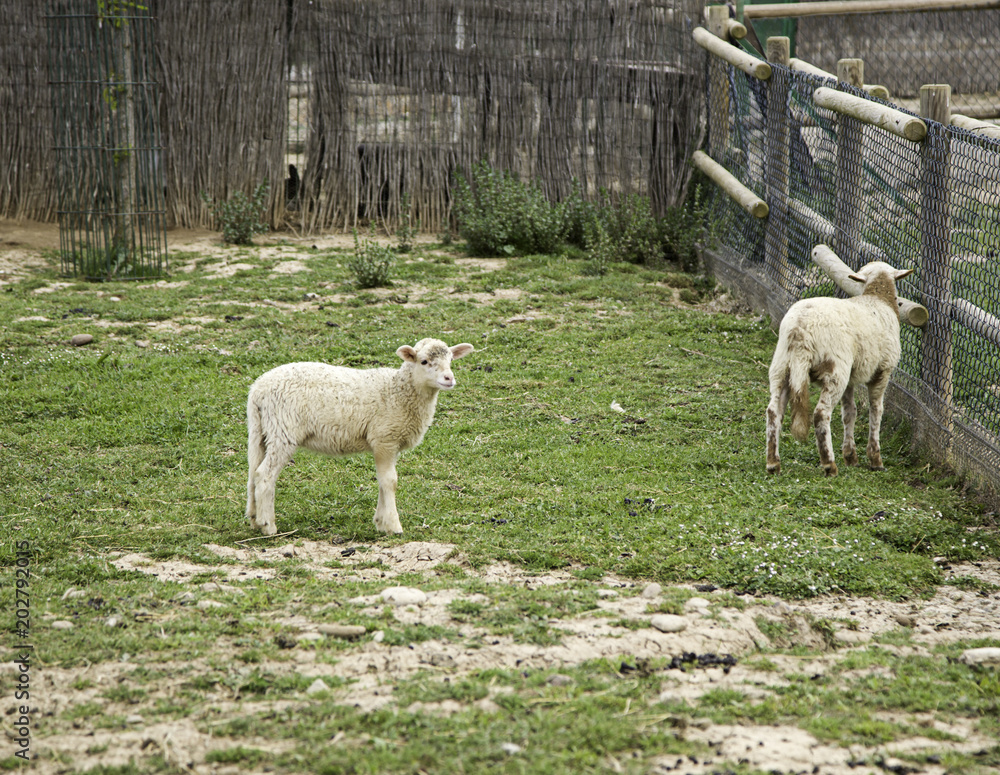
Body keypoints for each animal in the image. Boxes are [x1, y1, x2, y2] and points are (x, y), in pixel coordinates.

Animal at [246, 338, 474, 535]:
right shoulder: (384, 438)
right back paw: (268, 525)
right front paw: (393, 525)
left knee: (253, 472)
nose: (449, 378)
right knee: (265, 475)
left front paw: (381, 522)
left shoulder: (388, 443)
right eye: (424, 361)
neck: (398, 390)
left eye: (451, 360)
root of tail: (258, 389)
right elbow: (390, 481)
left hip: (261, 430)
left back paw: (254, 519)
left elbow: (383, 481)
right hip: (284, 431)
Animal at [766, 261, 914, 476]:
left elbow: (849, 412)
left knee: (773, 411)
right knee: (820, 414)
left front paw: (850, 456)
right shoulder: (883, 370)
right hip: (835, 370)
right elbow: (876, 411)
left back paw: (773, 463)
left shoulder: (851, 378)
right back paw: (829, 464)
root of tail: (800, 330)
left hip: (781, 367)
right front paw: (875, 459)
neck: (878, 298)